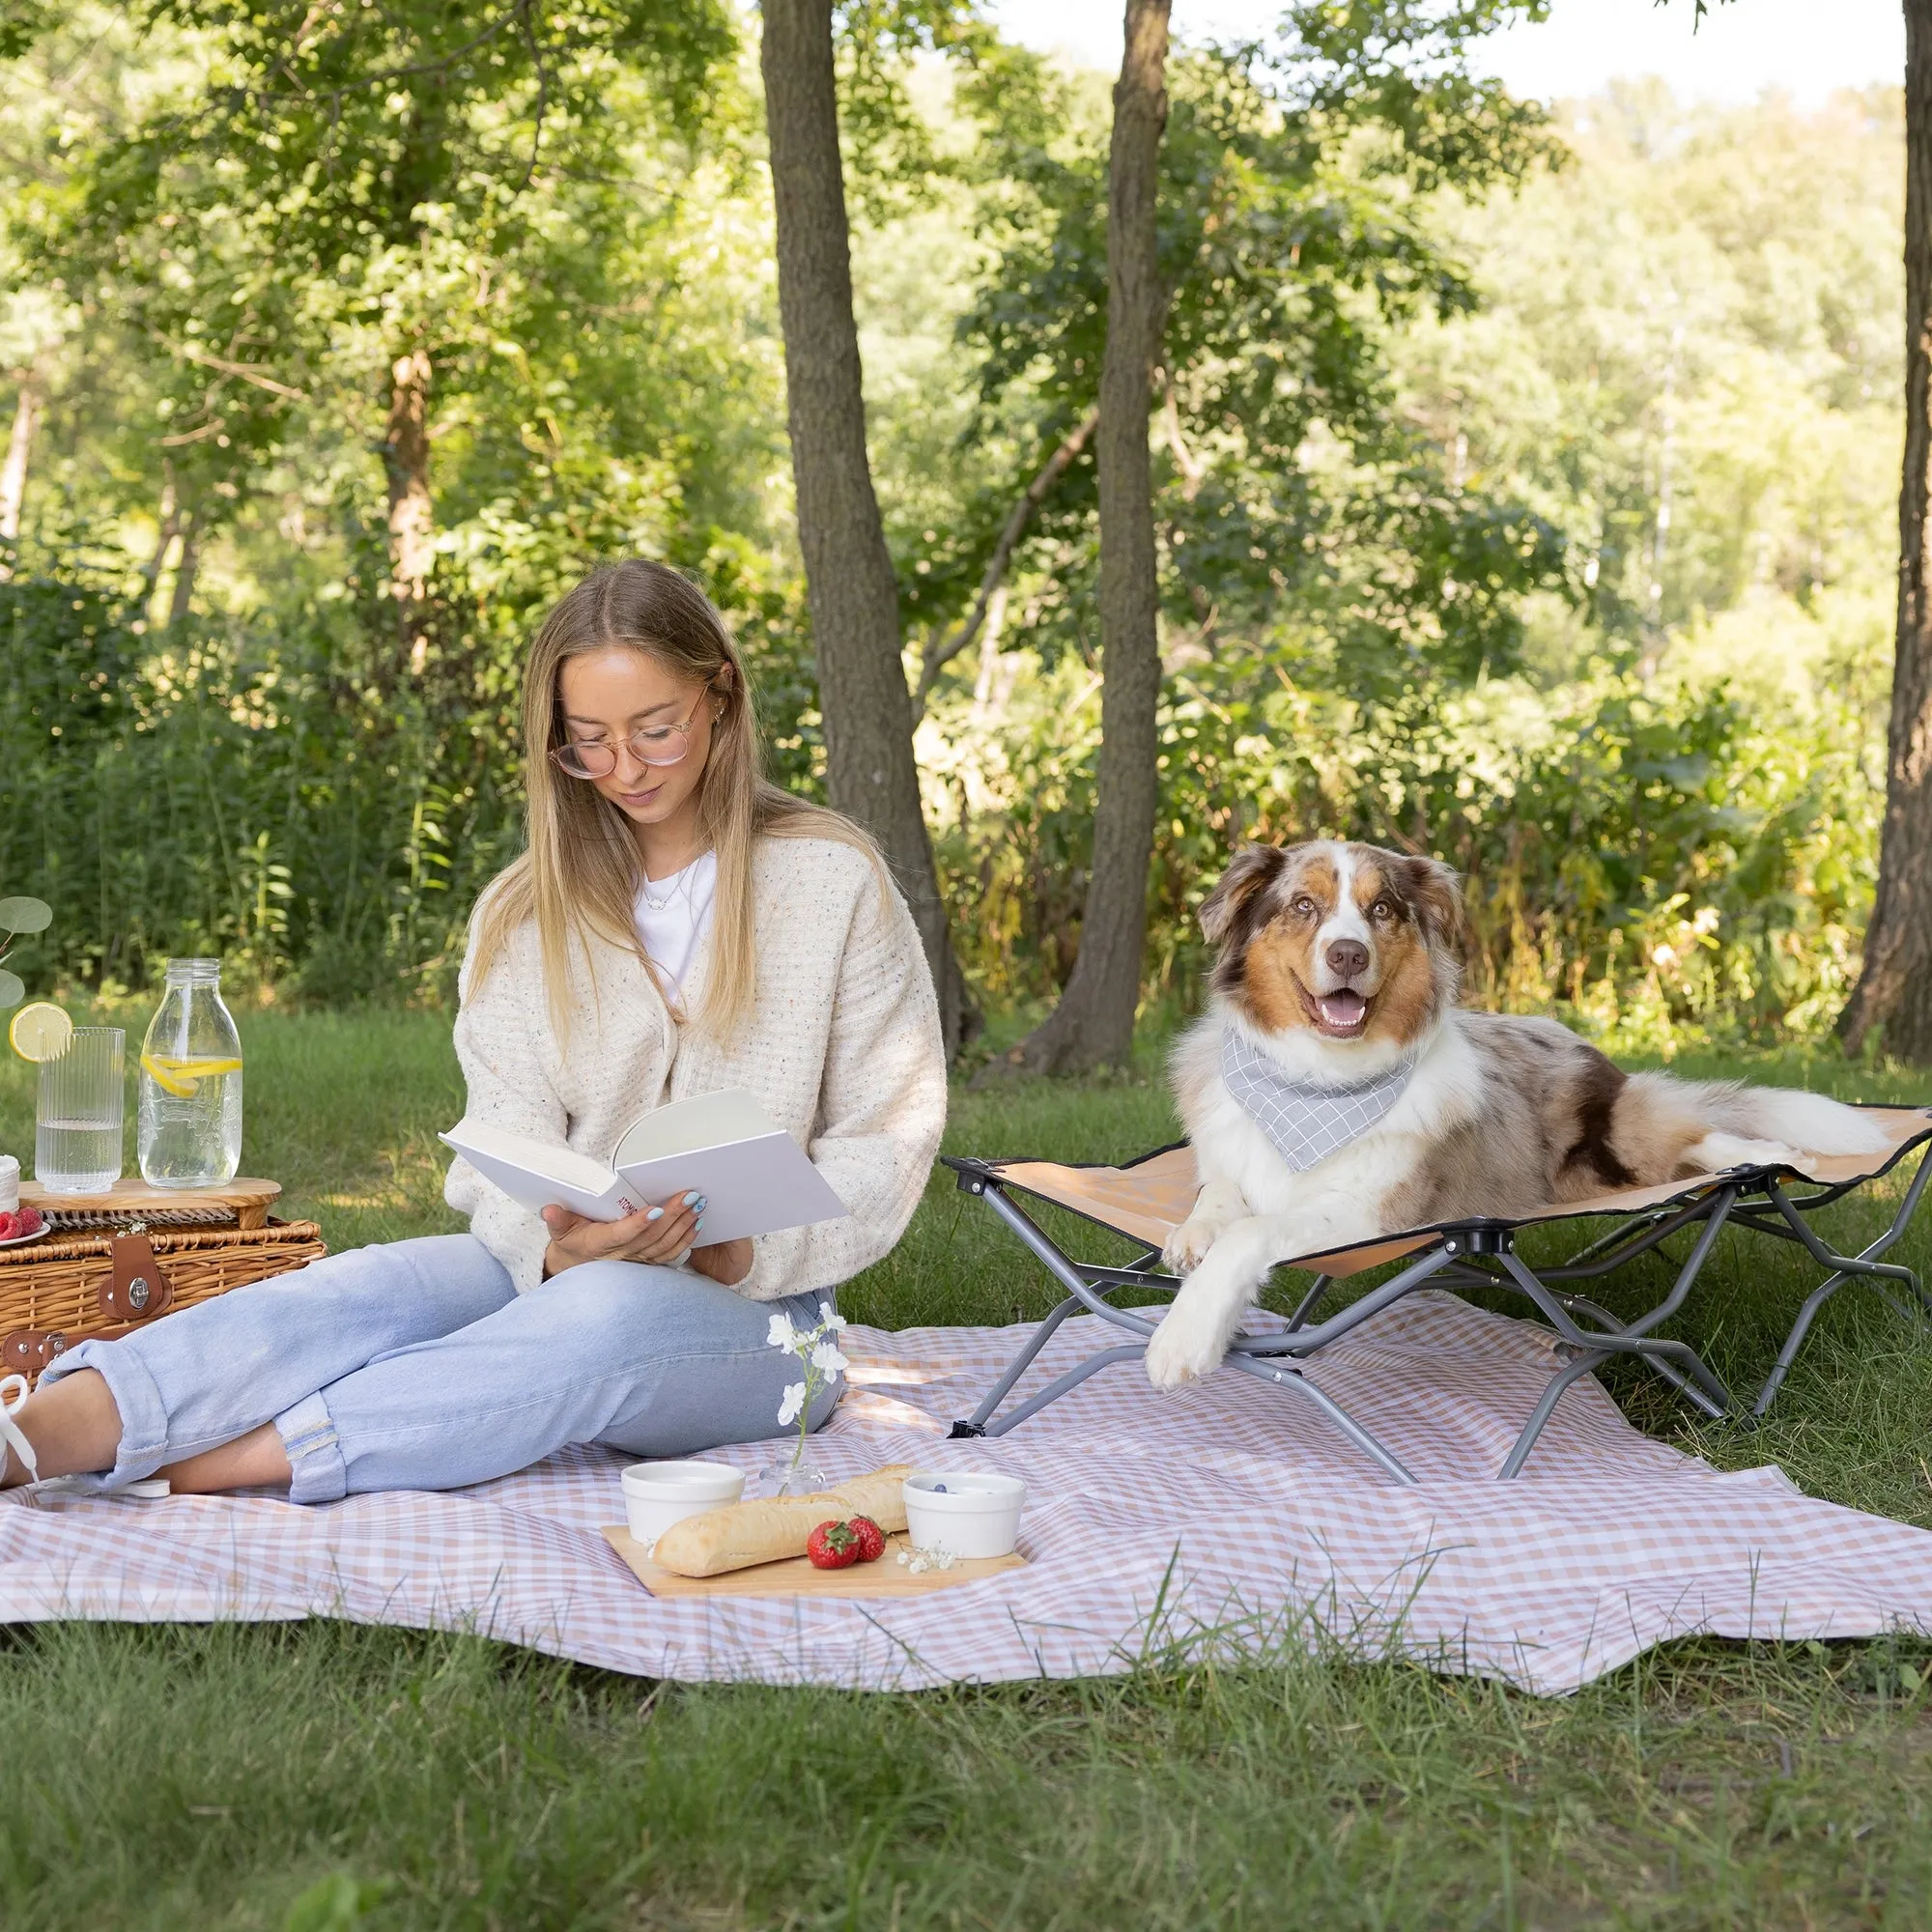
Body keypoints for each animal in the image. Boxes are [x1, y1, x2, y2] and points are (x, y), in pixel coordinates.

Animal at [1144, 838, 1886, 1399]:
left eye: (1381, 909)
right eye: (1304, 906)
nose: (1348, 954)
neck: (1313, 1083)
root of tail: (1586, 1046)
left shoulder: (1373, 1217)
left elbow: (1252, 1233)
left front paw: (1183, 1337)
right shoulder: (1236, 1160)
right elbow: (1219, 1197)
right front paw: (1191, 1235)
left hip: (1616, 1139)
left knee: (1698, 1131)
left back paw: (1773, 1157)